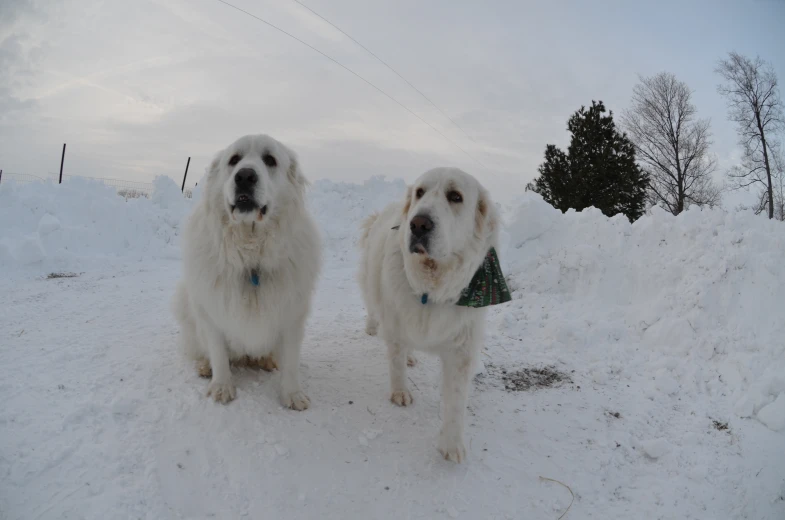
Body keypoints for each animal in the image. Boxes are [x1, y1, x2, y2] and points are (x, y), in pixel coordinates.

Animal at [172, 134, 318, 410]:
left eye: (270, 160)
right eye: (234, 160)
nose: (245, 176)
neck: (250, 252)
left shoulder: (292, 313)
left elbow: (292, 361)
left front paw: (292, 393)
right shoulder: (212, 312)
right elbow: (218, 352)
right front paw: (221, 386)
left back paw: (268, 361)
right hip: (185, 302)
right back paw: (205, 366)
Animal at [358, 168, 512, 464]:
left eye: (455, 196)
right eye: (420, 192)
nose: (418, 224)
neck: (433, 284)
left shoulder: (461, 349)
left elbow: (455, 400)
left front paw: (452, 444)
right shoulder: (395, 320)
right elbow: (395, 362)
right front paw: (399, 392)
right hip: (373, 286)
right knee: (372, 307)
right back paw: (373, 327)